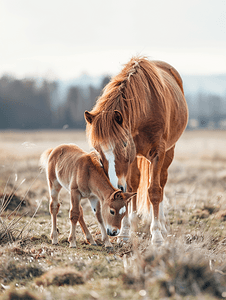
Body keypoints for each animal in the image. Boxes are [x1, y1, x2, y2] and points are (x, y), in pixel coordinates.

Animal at [84, 56, 188, 246]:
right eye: (97, 149)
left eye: (124, 144)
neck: (146, 110)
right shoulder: (131, 158)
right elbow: (129, 188)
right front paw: (125, 232)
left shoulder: (158, 153)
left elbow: (154, 191)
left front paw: (157, 236)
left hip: (169, 153)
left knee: (162, 183)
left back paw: (162, 225)